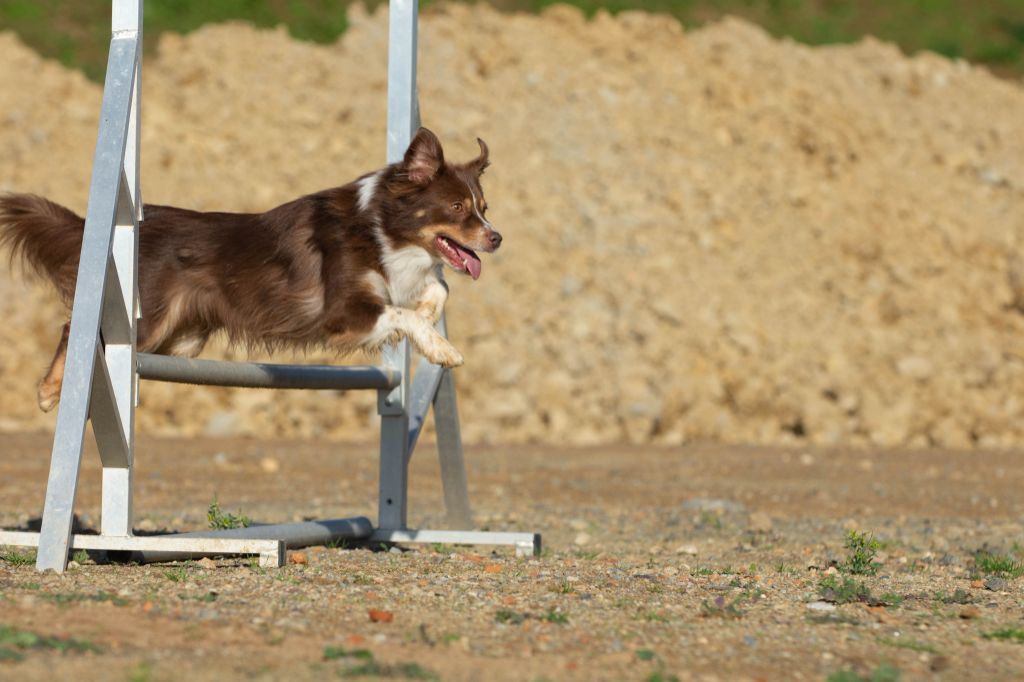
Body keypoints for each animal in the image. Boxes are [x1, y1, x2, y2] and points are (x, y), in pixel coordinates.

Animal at [0, 129, 501, 409]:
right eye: (457, 208)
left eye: (484, 207)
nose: (496, 238)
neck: (382, 228)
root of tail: (137, 221)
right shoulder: (342, 316)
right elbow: (402, 314)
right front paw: (442, 348)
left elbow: (434, 292)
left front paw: (429, 317)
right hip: (145, 322)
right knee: (78, 331)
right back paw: (50, 390)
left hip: (179, 340)